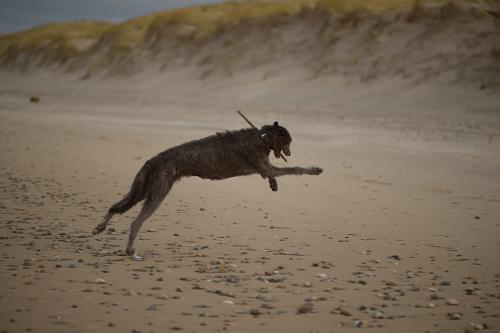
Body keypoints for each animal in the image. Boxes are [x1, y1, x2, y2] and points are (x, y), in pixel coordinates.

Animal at [92, 120, 322, 258]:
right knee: (135, 222)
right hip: (157, 192)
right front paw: (314, 169)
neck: (261, 137)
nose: (289, 153)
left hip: (142, 190)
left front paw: (274, 184)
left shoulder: (265, 168)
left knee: (115, 207)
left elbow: (273, 175)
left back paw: (101, 227)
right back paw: (130, 250)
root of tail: (153, 160)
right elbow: (294, 169)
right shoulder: (264, 165)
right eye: (288, 141)